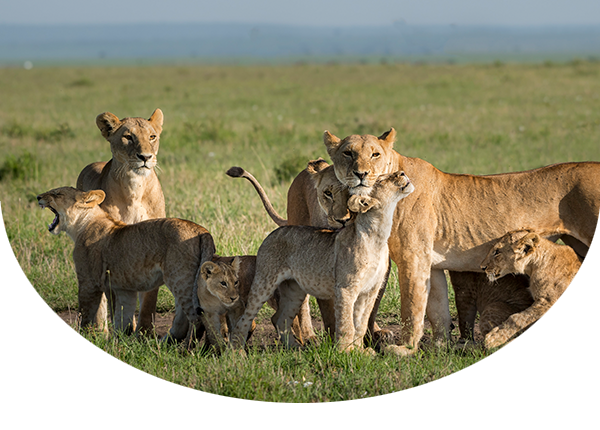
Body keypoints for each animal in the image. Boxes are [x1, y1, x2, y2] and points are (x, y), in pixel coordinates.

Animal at [36, 186, 214, 340]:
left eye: (57, 193)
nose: (38, 197)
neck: (81, 225)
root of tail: (202, 231)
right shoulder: (123, 288)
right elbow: (124, 318)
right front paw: (121, 343)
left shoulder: (89, 282)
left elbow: (85, 314)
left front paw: (82, 340)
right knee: (184, 319)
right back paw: (167, 343)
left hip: (180, 279)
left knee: (197, 319)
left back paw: (185, 350)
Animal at [78, 108, 166, 332]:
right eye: (128, 137)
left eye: (152, 137)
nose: (145, 157)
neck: (135, 186)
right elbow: (120, 300)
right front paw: (127, 329)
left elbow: (149, 298)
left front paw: (145, 331)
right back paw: (100, 329)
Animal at [229, 170, 412, 352]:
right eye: (381, 179)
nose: (403, 173)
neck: (379, 234)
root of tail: (274, 232)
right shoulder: (345, 288)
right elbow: (347, 325)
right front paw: (345, 352)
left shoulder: (370, 290)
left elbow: (360, 324)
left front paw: (361, 352)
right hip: (264, 282)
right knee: (245, 318)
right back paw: (237, 351)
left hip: (294, 290)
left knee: (280, 318)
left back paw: (296, 348)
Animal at [324, 128, 600, 356]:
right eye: (348, 153)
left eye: (375, 154)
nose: (360, 174)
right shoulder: (431, 265)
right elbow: (437, 311)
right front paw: (439, 347)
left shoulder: (414, 258)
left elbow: (411, 308)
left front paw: (405, 348)